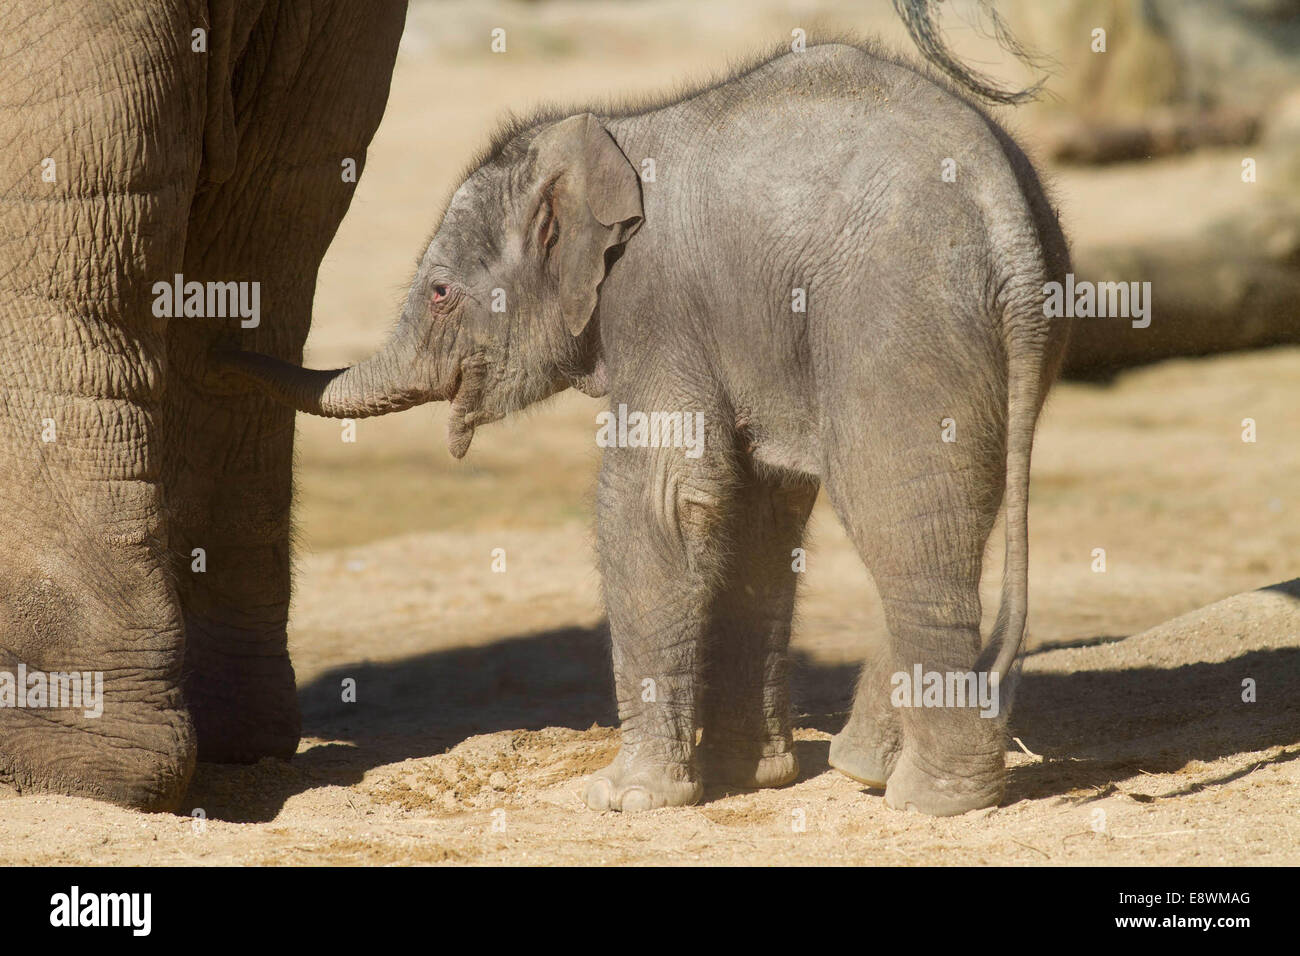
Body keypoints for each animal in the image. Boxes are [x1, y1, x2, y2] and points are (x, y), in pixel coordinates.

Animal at [226, 41, 1066, 811]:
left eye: (438, 292)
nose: (221, 341)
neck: (613, 131)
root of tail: (1005, 212)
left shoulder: (657, 308)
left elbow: (660, 500)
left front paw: (624, 797)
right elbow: (760, 508)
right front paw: (742, 778)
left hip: (896, 317)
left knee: (895, 514)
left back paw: (930, 798)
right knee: (947, 516)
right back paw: (870, 770)